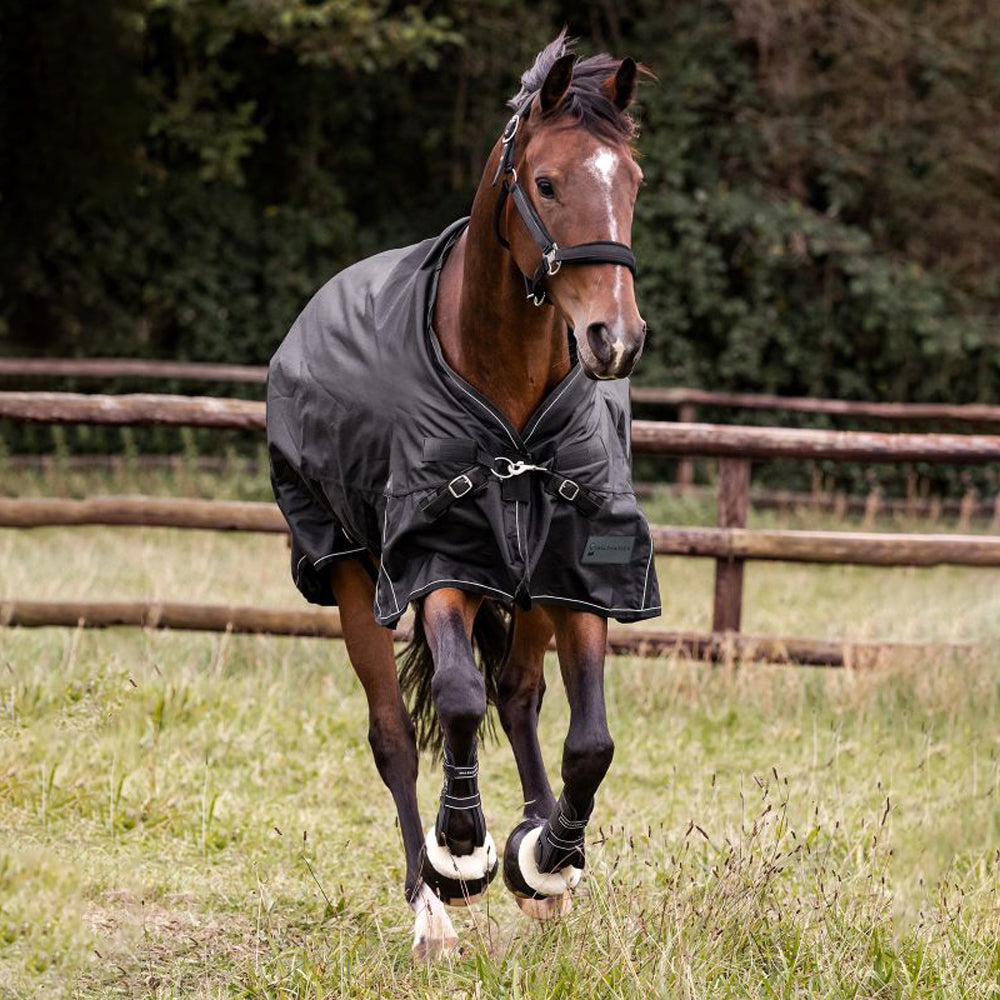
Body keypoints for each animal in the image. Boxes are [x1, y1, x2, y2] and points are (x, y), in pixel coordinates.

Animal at [266, 32, 657, 959]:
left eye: (631, 181)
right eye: (546, 182)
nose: (614, 339)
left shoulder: (575, 568)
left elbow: (590, 740)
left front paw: (546, 856)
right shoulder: (435, 561)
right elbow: (453, 701)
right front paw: (462, 850)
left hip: (526, 584)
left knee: (517, 696)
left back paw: (542, 872)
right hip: (349, 569)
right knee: (396, 733)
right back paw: (429, 904)